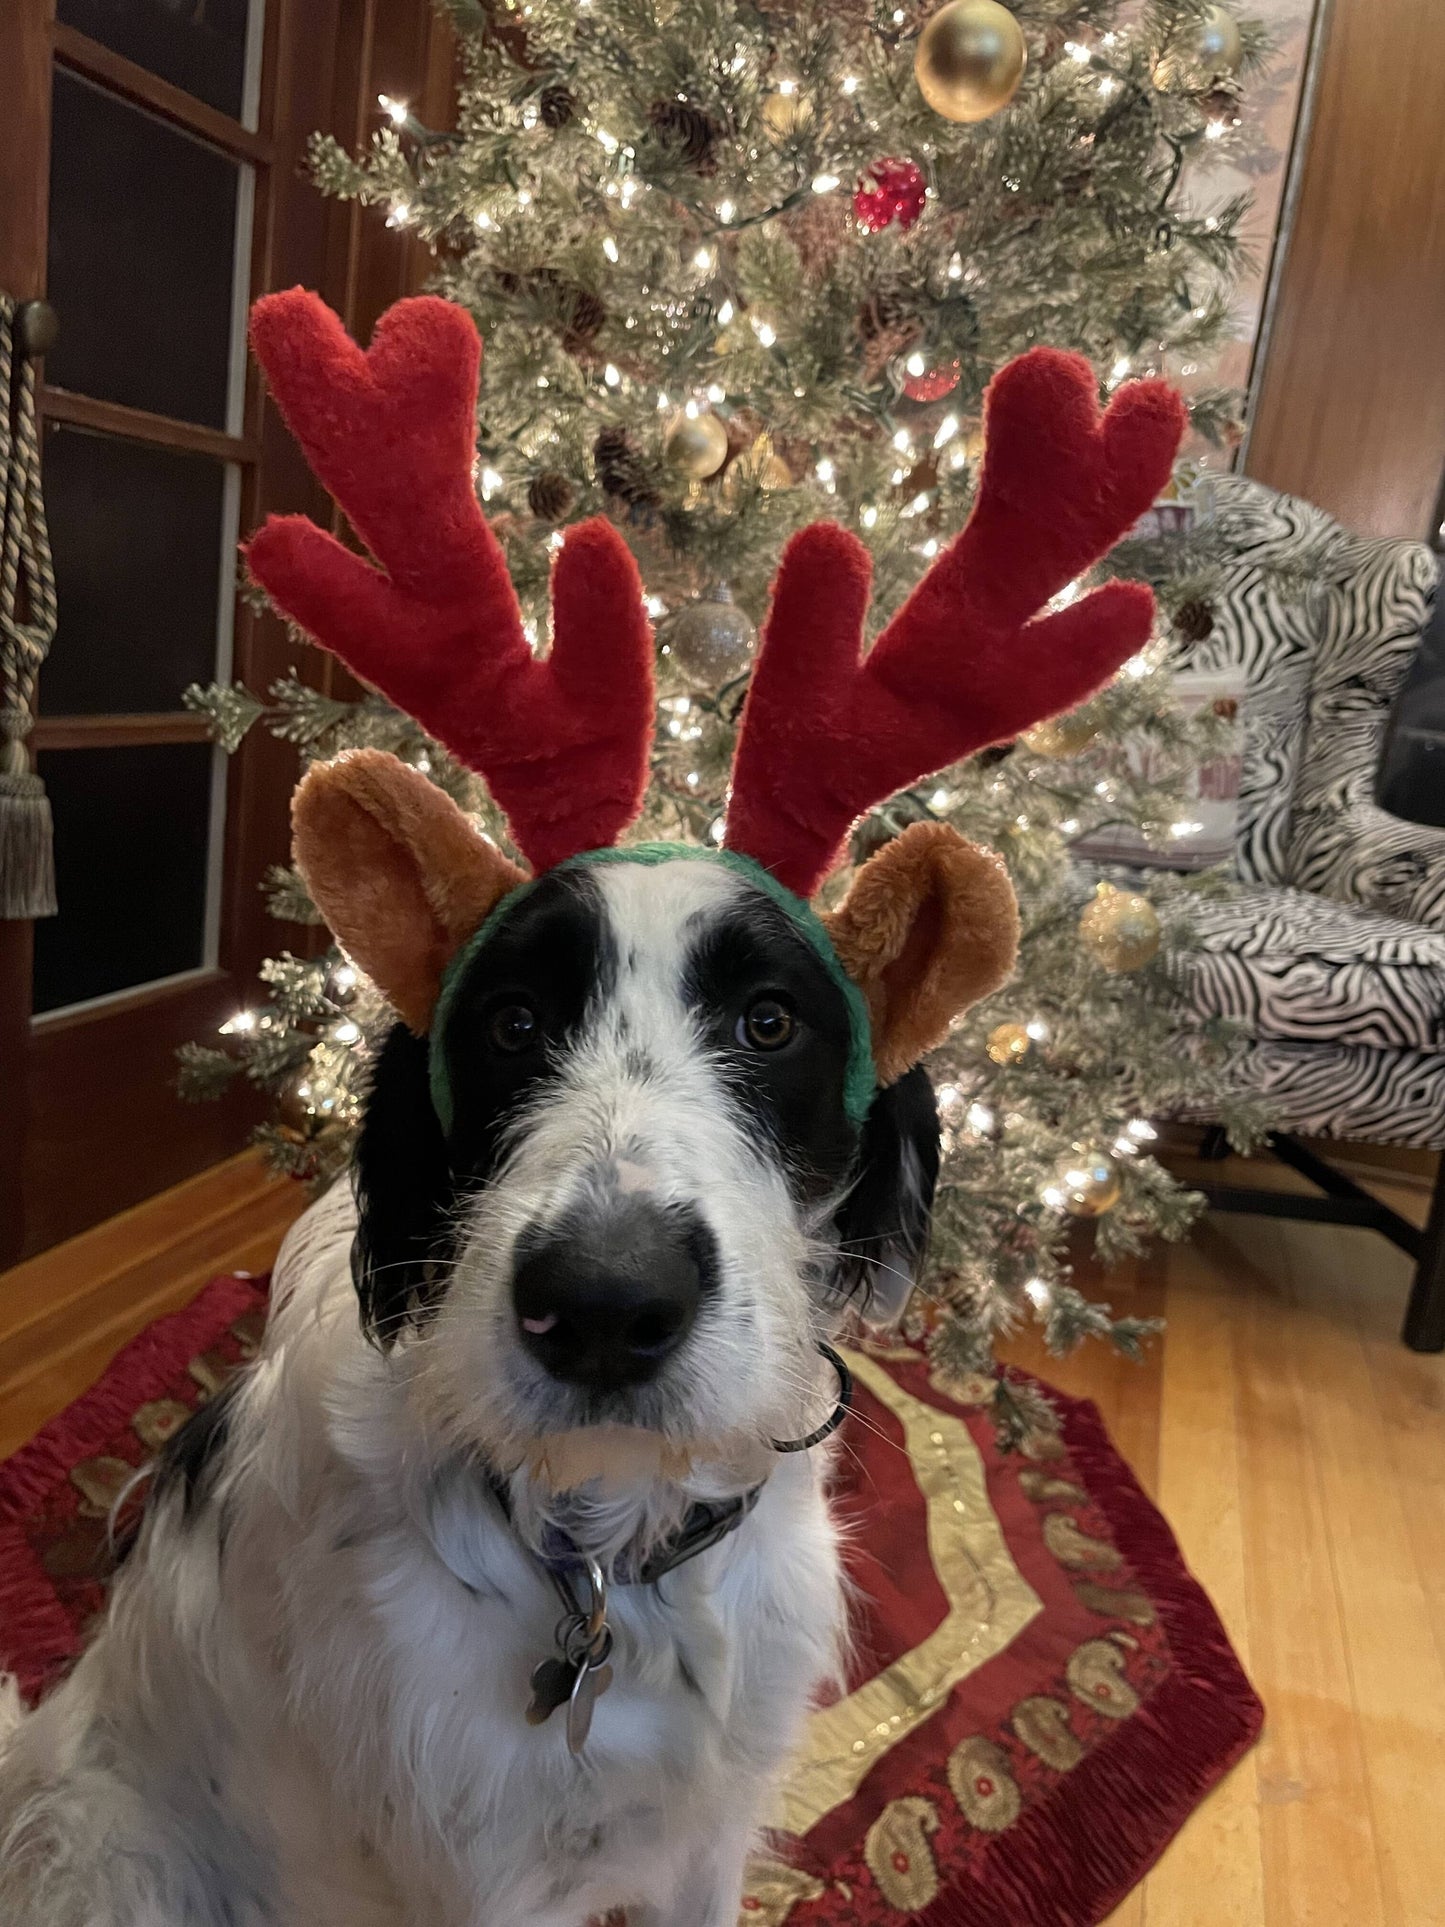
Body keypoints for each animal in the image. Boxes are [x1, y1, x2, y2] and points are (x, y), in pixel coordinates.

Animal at [0, 855, 940, 1927]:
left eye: (768, 1021)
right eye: (513, 1022)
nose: (603, 1302)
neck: (608, 1561)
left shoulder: (707, 1836)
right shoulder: (486, 1882)